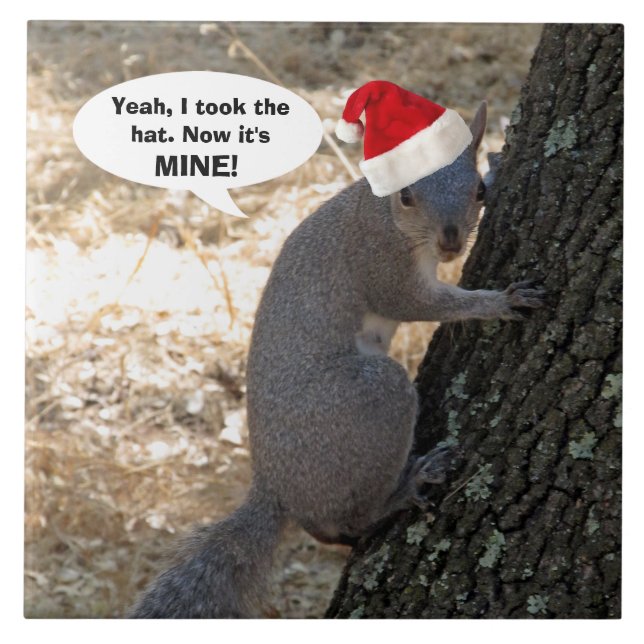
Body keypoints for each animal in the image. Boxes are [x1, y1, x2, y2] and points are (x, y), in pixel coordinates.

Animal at [129, 101, 544, 618]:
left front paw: (497, 160)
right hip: (367, 403)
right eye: (406, 196)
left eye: (478, 191)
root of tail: (276, 487)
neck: (381, 212)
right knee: (354, 514)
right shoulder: (381, 264)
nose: (450, 242)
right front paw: (498, 302)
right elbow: (419, 303)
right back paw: (404, 489)